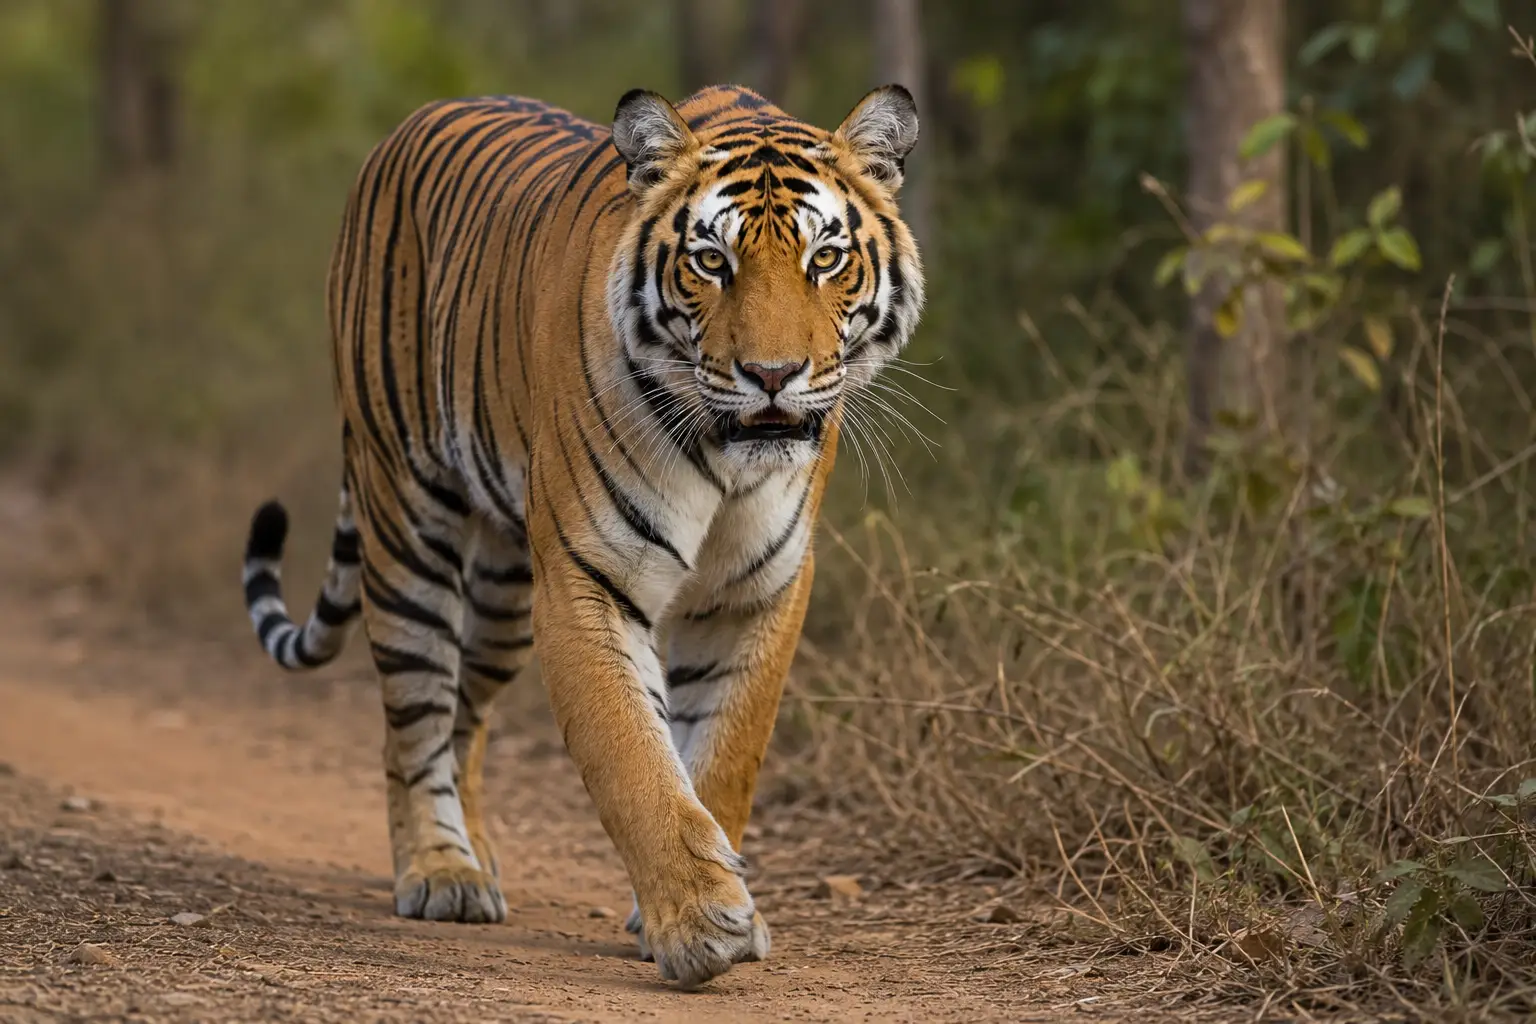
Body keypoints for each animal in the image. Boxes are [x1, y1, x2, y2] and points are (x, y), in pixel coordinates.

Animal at [239, 83, 923, 987]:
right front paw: (699, 922)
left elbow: (723, 757)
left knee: (466, 719)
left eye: (826, 259)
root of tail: (409, 124)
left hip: (503, 589)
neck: (726, 458)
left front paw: (705, 902)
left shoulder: (758, 591)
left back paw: (477, 855)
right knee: (415, 713)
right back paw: (441, 870)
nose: (772, 377)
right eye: (712, 262)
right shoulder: (586, 579)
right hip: (405, 516)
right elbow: (633, 757)